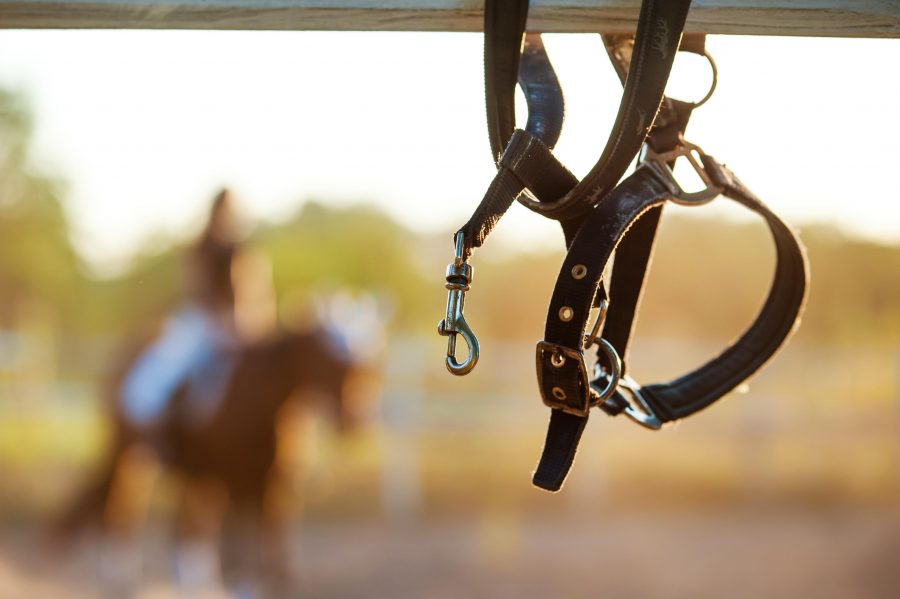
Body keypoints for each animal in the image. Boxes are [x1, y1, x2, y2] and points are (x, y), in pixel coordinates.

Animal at [53, 323, 376, 594]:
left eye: (361, 368)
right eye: (330, 362)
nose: (356, 420)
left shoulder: (274, 481)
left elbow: (271, 533)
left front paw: (272, 580)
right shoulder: (237, 479)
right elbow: (241, 537)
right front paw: (244, 581)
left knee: (182, 518)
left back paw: (187, 575)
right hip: (132, 457)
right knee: (124, 502)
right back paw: (120, 572)